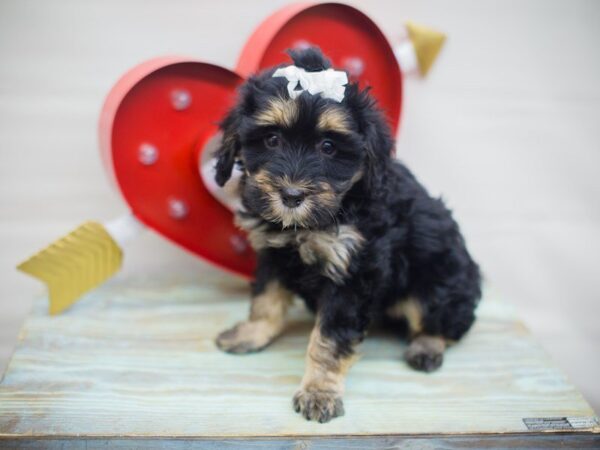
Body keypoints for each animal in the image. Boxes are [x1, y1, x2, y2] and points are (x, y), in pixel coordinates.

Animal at [213, 48, 480, 422]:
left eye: (328, 147)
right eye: (272, 140)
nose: (291, 196)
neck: (313, 222)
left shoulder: (352, 273)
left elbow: (330, 338)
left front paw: (319, 391)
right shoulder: (274, 253)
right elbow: (266, 299)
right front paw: (252, 334)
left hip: (439, 281)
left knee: (441, 319)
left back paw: (426, 346)